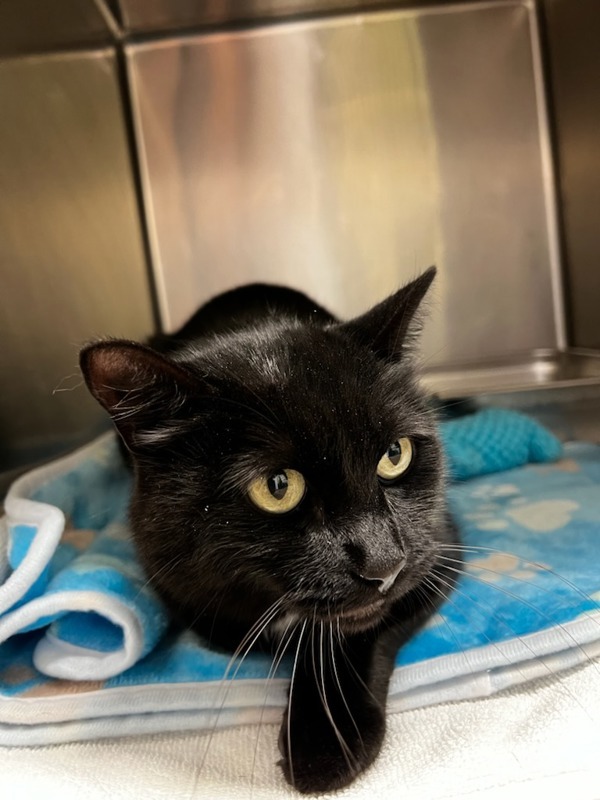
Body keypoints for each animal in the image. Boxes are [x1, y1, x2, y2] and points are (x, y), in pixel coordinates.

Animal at [79, 268, 454, 792]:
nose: (384, 564)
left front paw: (325, 742)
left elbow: (353, 631)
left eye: (395, 454)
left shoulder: (435, 546)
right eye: (277, 487)